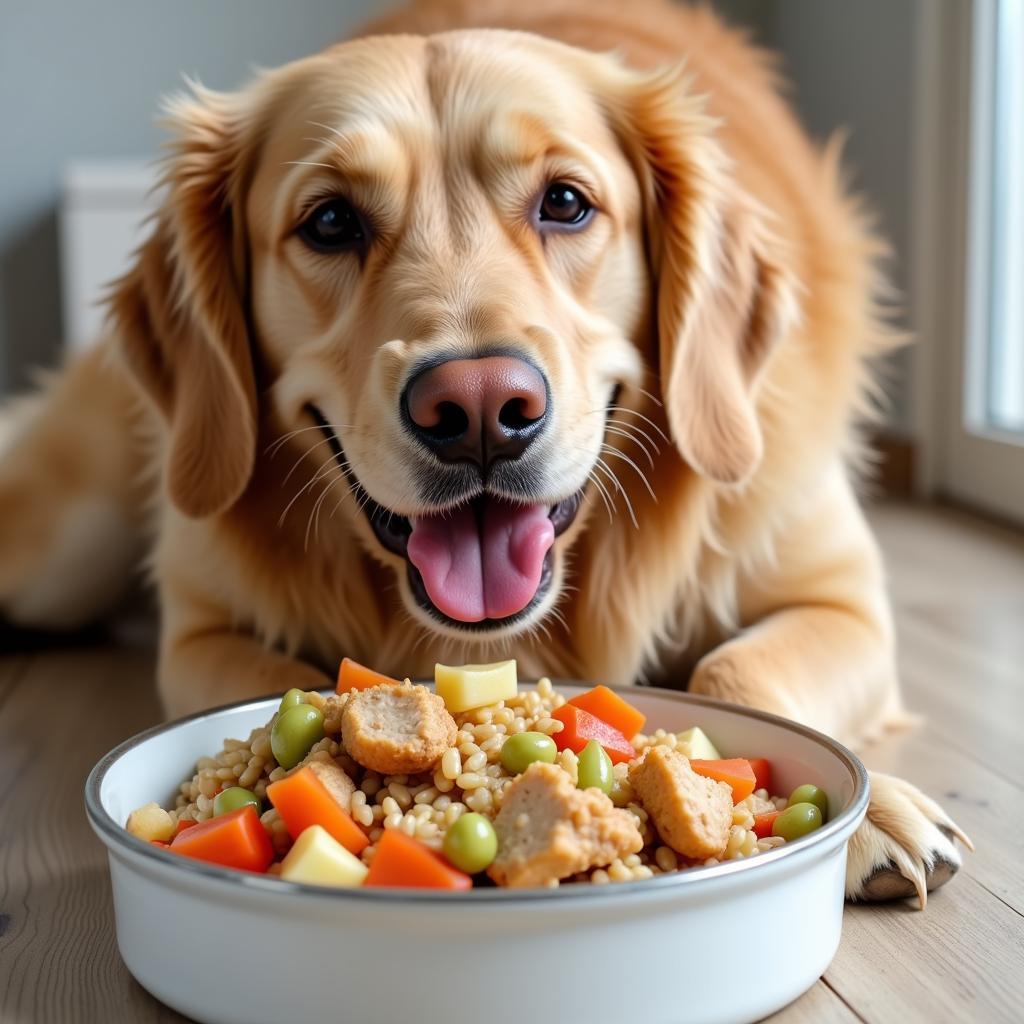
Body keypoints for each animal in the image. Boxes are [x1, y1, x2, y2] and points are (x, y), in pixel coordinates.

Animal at [0, 0, 966, 901]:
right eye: (330, 222)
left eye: (566, 203)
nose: (477, 412)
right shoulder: (201, 628)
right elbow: (265, 681)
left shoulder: (839, 597)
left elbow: (734, 667)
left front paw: (873, 811)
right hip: (63, 548)